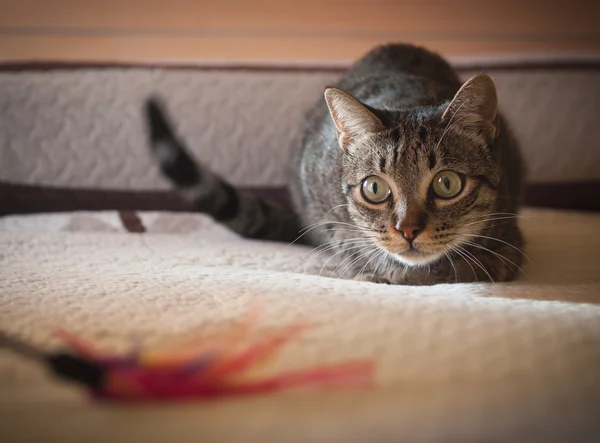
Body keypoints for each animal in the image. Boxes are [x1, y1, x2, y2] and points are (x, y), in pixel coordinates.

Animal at [144, 42, 524, 284]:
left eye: (447, 184)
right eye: (374, 188)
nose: (408, 230)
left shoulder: (510, 236)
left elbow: (481, 264)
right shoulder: (318, 197)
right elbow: (350, 242)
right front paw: (377, 269)